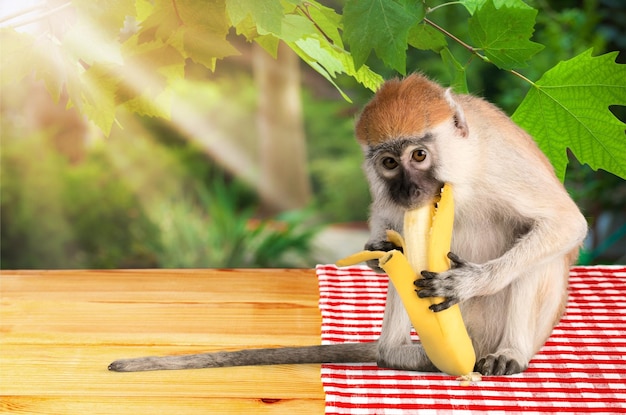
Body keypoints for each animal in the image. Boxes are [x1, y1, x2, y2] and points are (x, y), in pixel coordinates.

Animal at [108, 74, 584, 376]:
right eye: (389, 163)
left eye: (419, 155)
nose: (408, 189)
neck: (462, 174)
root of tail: (475, 343)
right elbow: (387, 230)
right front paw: (377, 252)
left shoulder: (500, 163)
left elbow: (565, 225)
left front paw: (465, 282)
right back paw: (396, 355)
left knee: (539, 252)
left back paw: (509, 353)